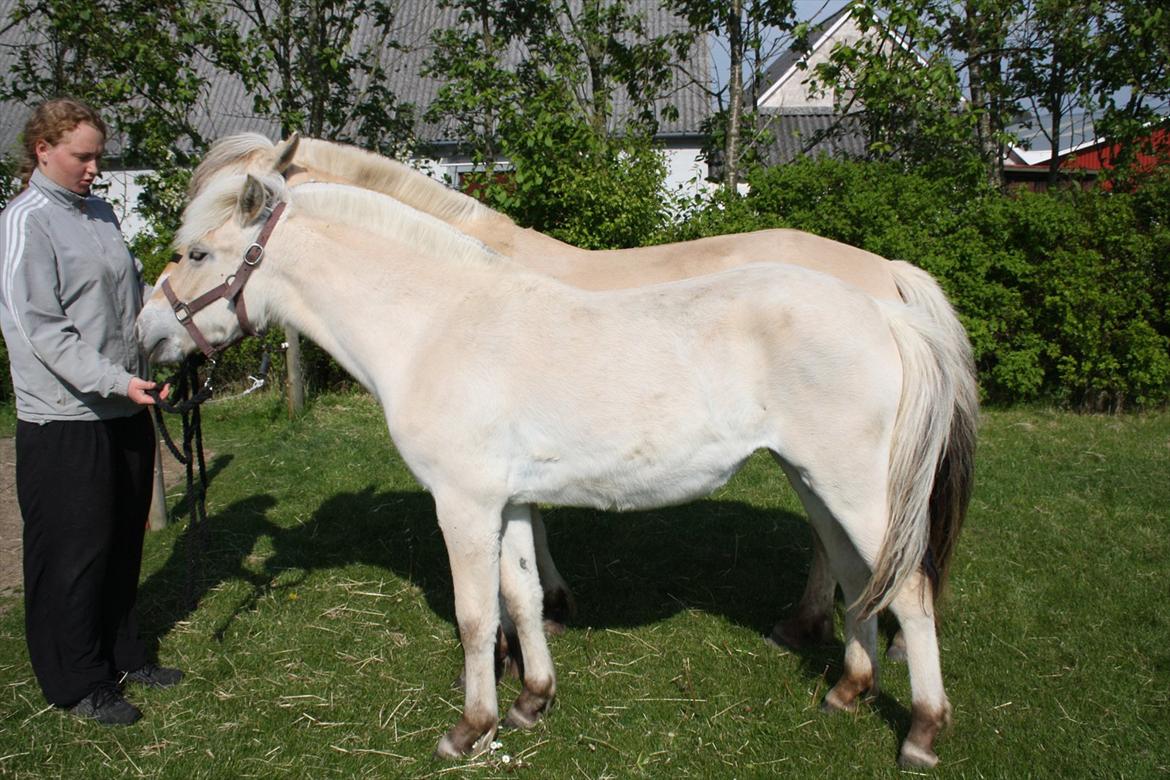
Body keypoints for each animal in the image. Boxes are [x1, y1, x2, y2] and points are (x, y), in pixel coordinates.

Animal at [136, 174, 973, 767]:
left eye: (199, 254)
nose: (145, 335)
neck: (434, 323)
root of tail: (886, 312)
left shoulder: (464, 503)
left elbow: (477, 615)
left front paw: (469, 728)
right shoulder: (506, 502)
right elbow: (523, 597)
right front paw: (532, 701)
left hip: (855, 488)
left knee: (911, 592)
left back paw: (923, 731)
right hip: (819, 482)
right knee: (855, 576)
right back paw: (848, 690)